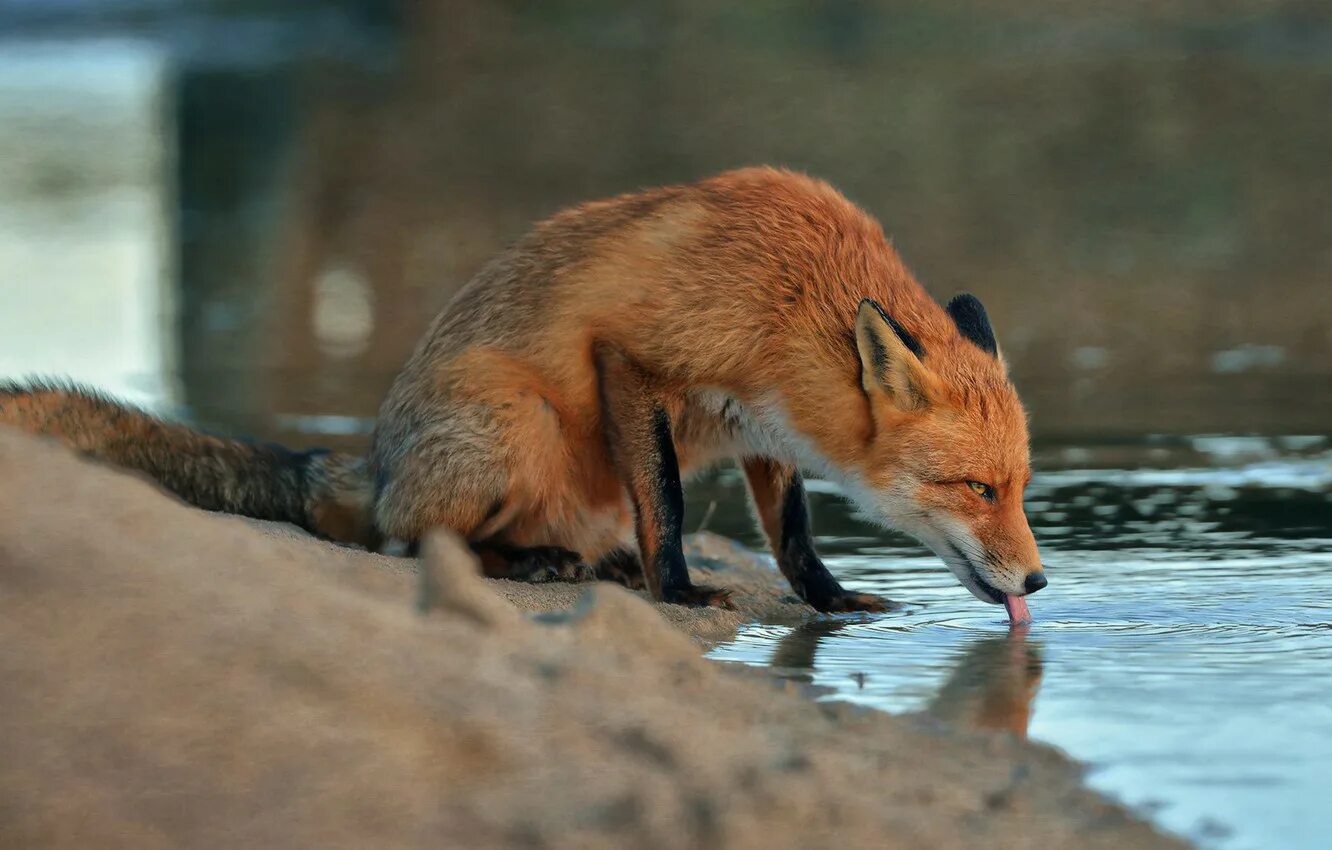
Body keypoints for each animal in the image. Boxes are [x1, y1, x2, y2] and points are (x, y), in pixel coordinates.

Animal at [1, 167, 1046, 616]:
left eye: (1021, 489)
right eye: (976, 489)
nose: (1039, 582)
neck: (789, 293)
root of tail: (373, 461)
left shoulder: (764, 425)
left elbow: (790, 536)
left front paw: (829, 599)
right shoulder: (631, 357)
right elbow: (668, 501)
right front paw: (676, 588)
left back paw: (592, 560)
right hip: (518, 419)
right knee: (406, 539)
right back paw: (537, 564)